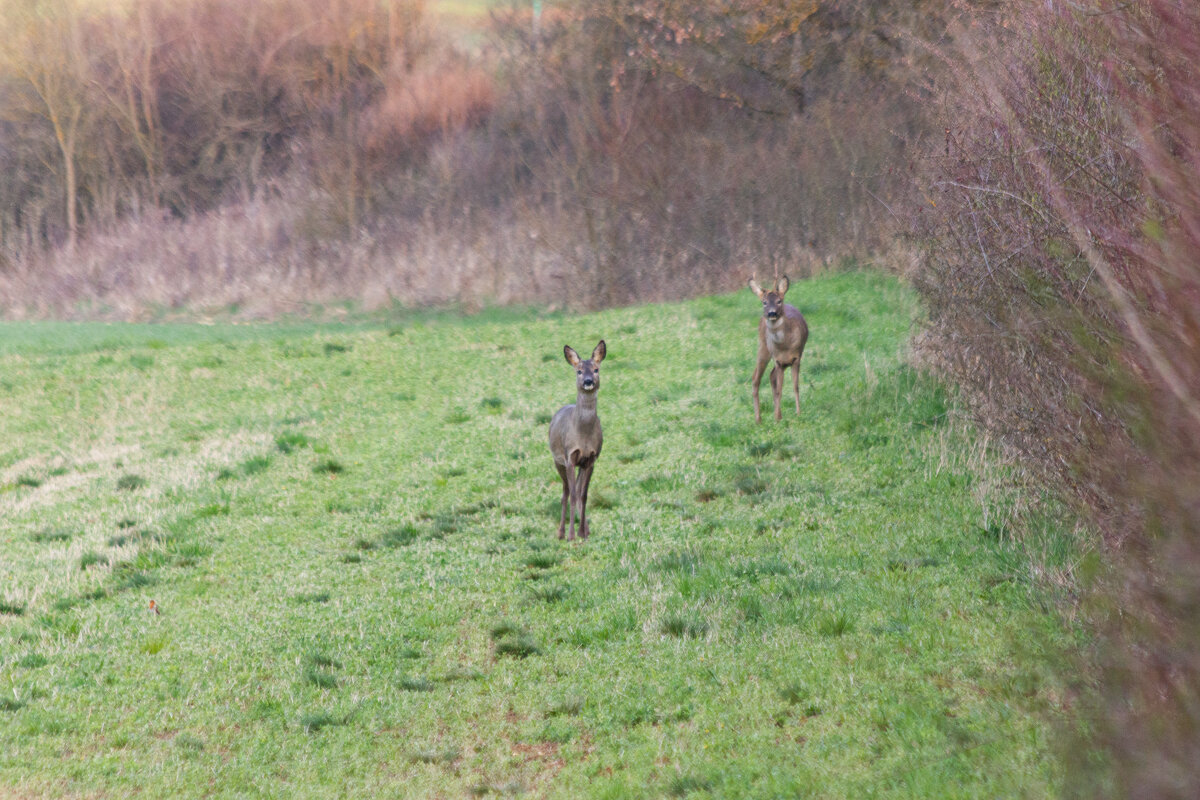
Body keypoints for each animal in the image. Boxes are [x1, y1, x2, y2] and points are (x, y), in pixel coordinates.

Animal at [552, 340, 609, 542]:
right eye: (579, 371)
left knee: (575, 489)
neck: (583, 436)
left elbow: (583, 495)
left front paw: (583, 533)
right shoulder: (570, 456)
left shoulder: (591, 458)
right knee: (565, 493)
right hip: (557, 461)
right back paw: (561, 532)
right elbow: (573, 496)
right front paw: (571, 535)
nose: (588, 381)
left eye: (596, 369)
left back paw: (585, 528)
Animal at [744, 277, 811, 424]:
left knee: (770, 375)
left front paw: (798, 413)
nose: (772, 313)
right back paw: (758, 419)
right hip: (764, 347)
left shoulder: (796, 358)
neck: (785, 345)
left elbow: (795, 386)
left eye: (779, 301)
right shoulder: (778, 361)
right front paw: (777, 418)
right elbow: (780, 390)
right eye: (764, 302)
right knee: (756, 378)